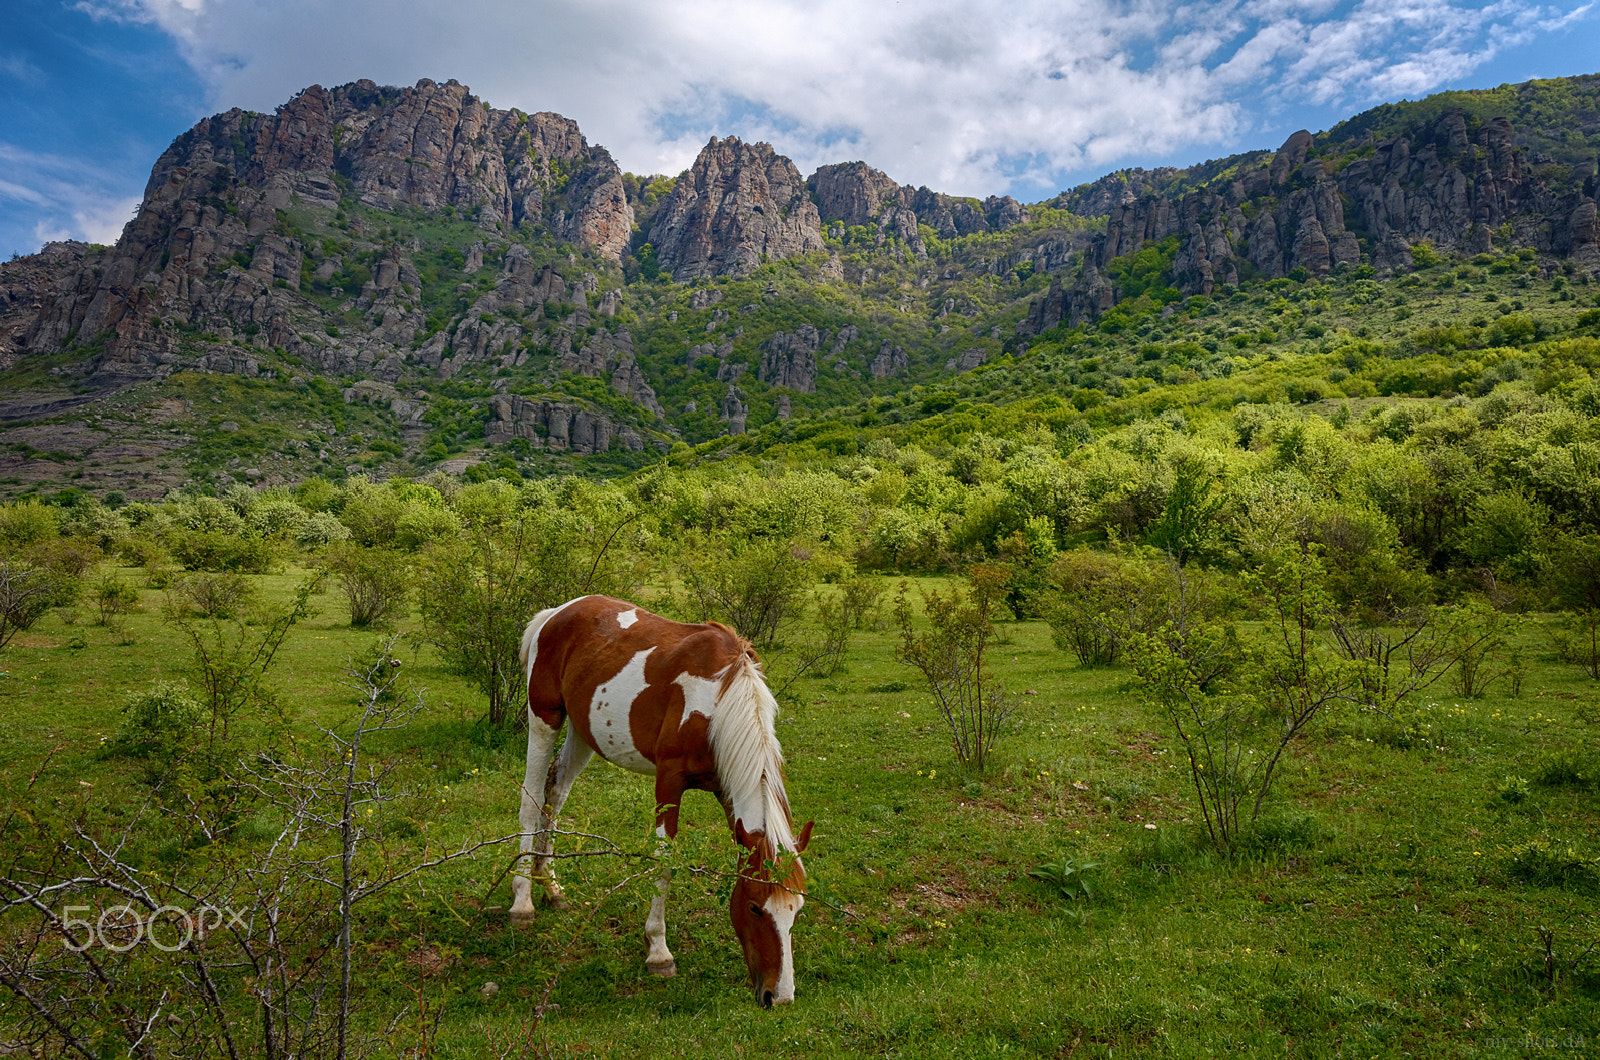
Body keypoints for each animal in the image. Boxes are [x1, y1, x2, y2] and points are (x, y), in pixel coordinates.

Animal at [508, 592, 812, 1011]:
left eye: (796, 909)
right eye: (754, 906)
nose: (778, 997)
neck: (719, 700)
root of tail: (557, 613)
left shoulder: (725, 787)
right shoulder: (669, 781)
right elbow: (664, 862)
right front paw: (658, 950)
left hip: (583, 733)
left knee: (555, 795)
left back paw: (550, 886)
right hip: (544, 718)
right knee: (531, 798)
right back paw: (523, 899)